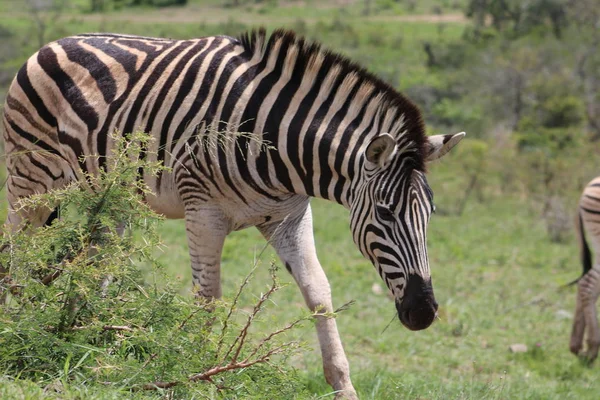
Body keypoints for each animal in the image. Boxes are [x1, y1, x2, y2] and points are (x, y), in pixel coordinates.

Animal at [1, 28, 464, 396]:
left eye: (430, 215)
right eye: (385, 214)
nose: (424, 313)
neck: (277, 145)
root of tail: (52, 43)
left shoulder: (289, 218)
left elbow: (318, 290)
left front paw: (343, 385)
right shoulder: (202, 209)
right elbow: (208, 297)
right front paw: (201, 372)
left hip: (114, 194)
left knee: (97, 261)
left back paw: (88, 336)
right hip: (31, 179)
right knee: (18, 248)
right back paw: (22, 325)